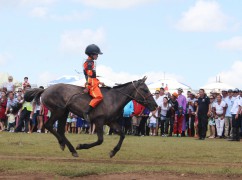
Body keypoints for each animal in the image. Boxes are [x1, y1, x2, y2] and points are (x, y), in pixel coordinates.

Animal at [12, 76, 158, 158]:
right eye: (145, 89)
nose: (155, 105)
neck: (113, 98)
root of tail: (45, 90)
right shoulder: (99, 121)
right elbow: (100, 140)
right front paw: (81, 146)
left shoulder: (110, 122)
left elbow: (122, 135)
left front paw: (113, 152)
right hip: (59, 111)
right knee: (49, 126)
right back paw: (66, 145)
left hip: (64, 112)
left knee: (59, 130)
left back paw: (69, 148)